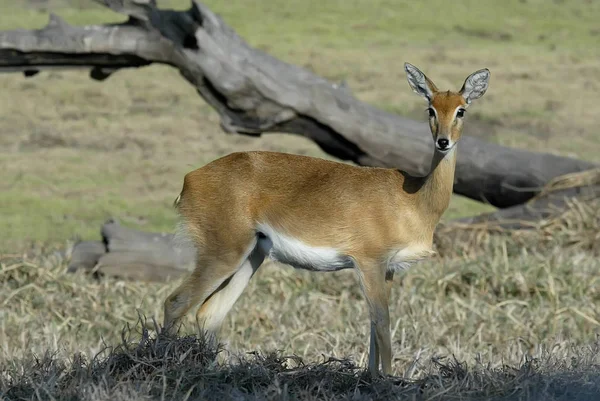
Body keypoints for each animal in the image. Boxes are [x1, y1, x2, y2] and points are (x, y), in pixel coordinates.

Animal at [162, 61, 490, 376]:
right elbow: (382, 323)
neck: (415, 199)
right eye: (430, 108)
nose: (443, 142)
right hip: (223, 253)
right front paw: (387, 381)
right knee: (175, 302)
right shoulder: (369, 262)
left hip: (252, 255)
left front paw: (372, 378)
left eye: (461, 109)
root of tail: (190, 179)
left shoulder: (387, 269)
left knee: (209, 312)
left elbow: (374, 326)